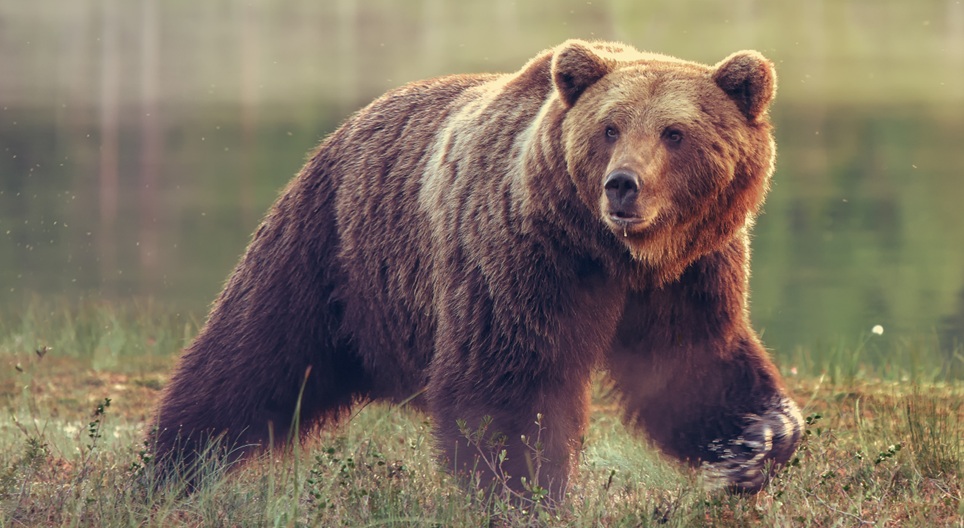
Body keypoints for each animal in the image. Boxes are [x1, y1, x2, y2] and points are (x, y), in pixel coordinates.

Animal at [150, 39, 803, 500]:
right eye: (610, 127)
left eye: (675, 132)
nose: (623, 185)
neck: (612, 253)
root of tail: (349, 124)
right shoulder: (524, 257)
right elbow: (509, 381)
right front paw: (526, 492)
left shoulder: (691, 271)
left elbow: (693, 364)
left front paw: (760, 439)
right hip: (333, 250)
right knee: (250, 358)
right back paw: (171, 468)